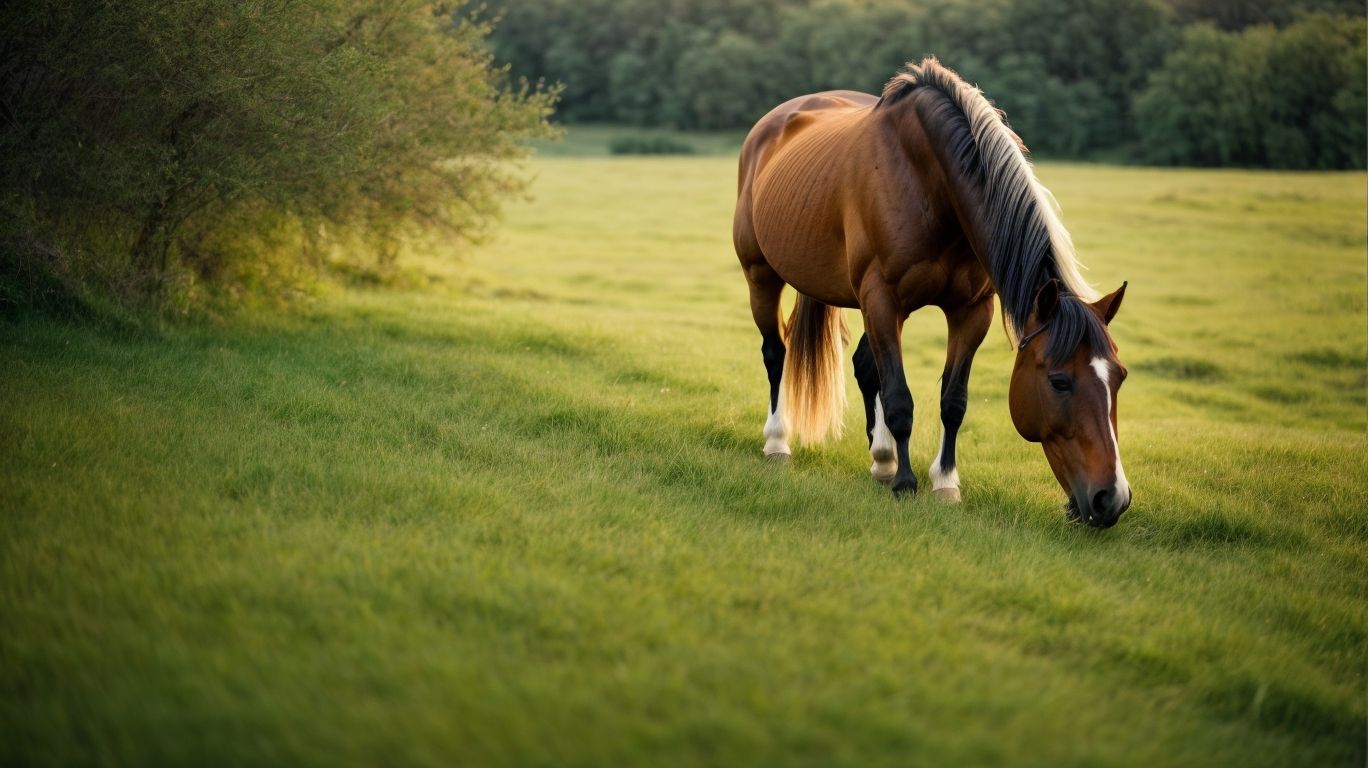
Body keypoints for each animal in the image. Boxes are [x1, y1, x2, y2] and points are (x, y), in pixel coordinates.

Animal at [733, 57, 1132, 527]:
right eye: (1059, 381)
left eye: (1120, 377)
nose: (1111, 499)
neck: (929, 179)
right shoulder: (882, 299)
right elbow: (900, 398)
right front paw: (907, 484)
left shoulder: (970, 310)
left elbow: (952, 401)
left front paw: (944, 483)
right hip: (762, 277)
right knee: (776, 353)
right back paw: (779, 442)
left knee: (866, 367)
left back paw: (882, 458)